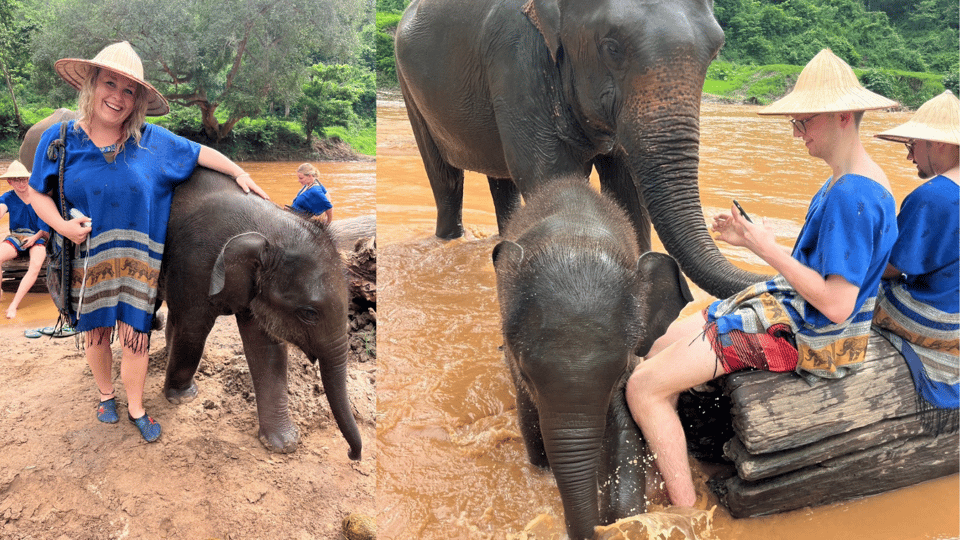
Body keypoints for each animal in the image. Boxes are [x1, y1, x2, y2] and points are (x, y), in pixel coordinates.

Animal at [394, 0, 768, 298]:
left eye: (716, 50)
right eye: (612, 48)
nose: (736, 212)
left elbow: (627, 189)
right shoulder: (517, 55)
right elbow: (553, 177)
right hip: (410, 90)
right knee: (446, 181)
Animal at [496, 180, 688, 540]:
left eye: (620, 370)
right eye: (527, 374)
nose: (596, 527)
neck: (577, 236)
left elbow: (626, 431)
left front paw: (624, 519)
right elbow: (532, 430)